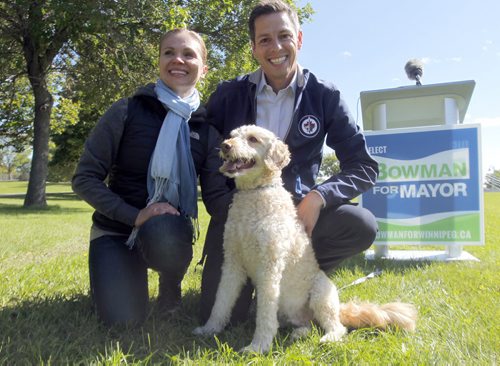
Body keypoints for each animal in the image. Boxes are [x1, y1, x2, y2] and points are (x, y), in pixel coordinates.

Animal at [193, 125, 416, 352]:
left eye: (253, 139)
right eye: (231, 136)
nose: (224, 146)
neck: (254, 194)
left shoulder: (269, 268)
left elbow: (265, 314)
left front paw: (258, 346)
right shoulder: (232, 263)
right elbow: (221, 301)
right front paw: (210, 328)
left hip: (320, 295)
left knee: (336, 327)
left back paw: (329, 338)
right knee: (308, 325)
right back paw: (299, 333)